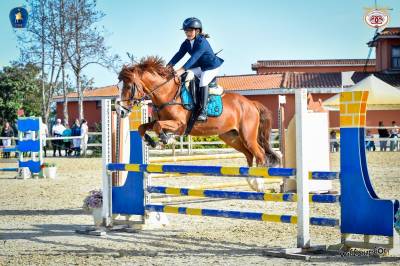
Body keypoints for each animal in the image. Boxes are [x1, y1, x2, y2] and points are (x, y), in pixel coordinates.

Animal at [115, 56, 280, 190]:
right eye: (119, 87)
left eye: (129, 86)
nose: (120, 111)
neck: (167, 93)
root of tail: (251, 103)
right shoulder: (158, 120)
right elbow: (142, 127)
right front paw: (151, 141)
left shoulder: (180, 125)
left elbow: (158, 126)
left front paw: (165, 139)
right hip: (230, 136)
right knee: (249, 154)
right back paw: (251, 181)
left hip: (247, 136)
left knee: (260, 154)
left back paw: (258, 183)